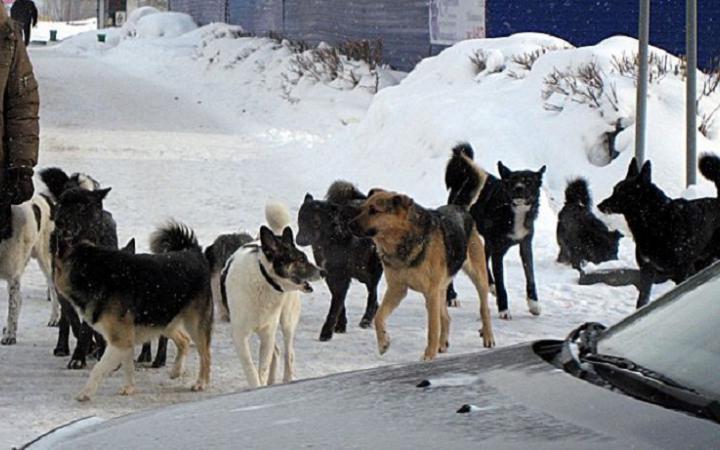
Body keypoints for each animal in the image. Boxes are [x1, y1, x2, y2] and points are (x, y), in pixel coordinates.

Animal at [224, 202, 322, 388]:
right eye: (299, 260)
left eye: (305, 257)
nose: (324, 272)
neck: (264, 280)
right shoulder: (240, 336)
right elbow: (251, 369)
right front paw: (258, 384)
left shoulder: (268, 332)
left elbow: (262, 368)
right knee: (277, 352)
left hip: (287, 321)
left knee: (288, 353)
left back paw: (287, 379)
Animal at [296, 181, 386, 340]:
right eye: (300, 218)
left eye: (316, 222)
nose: (299, 240)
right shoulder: (331, 276)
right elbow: (340, 304)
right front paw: (340, 325)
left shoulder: (341, 277)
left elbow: (335, 305)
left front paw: (326, 332)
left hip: (370, 272)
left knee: (372, 294)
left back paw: (366, 319)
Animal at [352, 163, 496, 362]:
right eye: (363, 208)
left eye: (374, 211)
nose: (348, 224)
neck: (402, 241)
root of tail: (459, 208)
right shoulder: (397, 289)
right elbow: (379, 316)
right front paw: (383, 343)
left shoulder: (430, 293)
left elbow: (432, 328)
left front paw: (428, 355)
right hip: (442, 287)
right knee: (447, 318)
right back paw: (443, 344)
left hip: (478, 276)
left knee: (484, 309)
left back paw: (488, 337)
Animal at [596, 156, 720, 308]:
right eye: (614, 190)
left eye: (621, 192)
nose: (599, 205)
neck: (654, 219)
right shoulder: (647, 270)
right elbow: (642, 300)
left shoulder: (682, 270)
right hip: (701, 263)